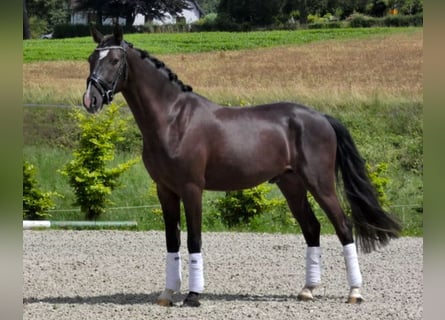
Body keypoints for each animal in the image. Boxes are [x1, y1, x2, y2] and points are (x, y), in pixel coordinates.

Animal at [81, 25, 400, 308]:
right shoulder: (165, 190)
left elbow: (194, 239)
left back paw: (355, 292)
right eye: (90, 59)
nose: (90, 100)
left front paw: (193, 296)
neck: (173, 119)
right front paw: (168, 293)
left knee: (343, 226)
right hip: (292, 185)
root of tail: (321, 117)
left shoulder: (191, 188)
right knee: (312, 227)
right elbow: (172, 240)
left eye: (114, 60)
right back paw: (308, 290)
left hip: (320, 183)